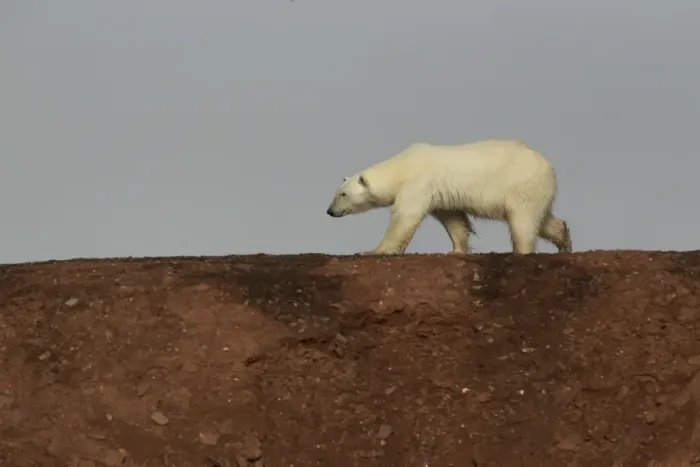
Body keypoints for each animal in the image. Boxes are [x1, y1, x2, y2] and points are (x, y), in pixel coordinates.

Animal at [325, 139, 572, 256]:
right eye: (337, 193)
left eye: (343, 194)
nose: (330, 211)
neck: (401, 167)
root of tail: (548, 166)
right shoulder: (441, 194)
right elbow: (454, 220)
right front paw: (457, 249)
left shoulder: (419, 184)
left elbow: (405, 217)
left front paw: (373, 250)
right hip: (537, 191)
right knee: (544, 220)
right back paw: (564, 243)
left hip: (521, 185)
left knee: (523, 222)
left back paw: (522, 250)